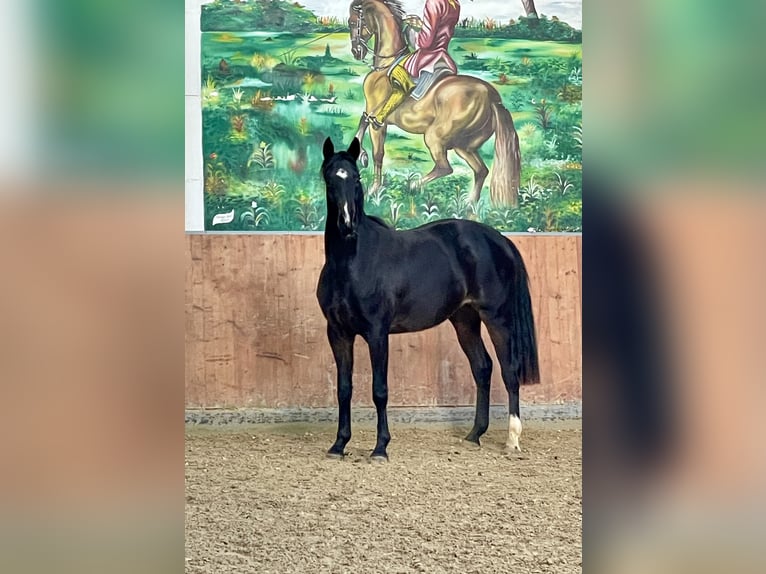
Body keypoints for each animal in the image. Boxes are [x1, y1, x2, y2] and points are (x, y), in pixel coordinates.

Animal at [317, 137, 540, 461]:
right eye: (330, 179)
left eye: (356, 178)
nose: (347, 225)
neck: (351, 262)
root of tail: (500, 240)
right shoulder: (338, 333)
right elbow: (344, 389)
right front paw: (339, 444)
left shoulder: (376, 333)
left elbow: (379, 390)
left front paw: (380, 447)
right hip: (464, 319)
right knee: (482, 367)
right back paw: (474, 435)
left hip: (497, 318)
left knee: (509, 371)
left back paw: (512, 440)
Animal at [348, 0, 522, 206]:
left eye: (352, 22)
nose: (356, 52)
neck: (385, 67)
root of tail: (492, 97)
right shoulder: (373, 112)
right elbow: (362, 122)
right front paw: (361, 156)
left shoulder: (378, 119)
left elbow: (377, 150)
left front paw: (373, 187)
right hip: (464, 145)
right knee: (481, 170)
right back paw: (469, 204)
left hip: (435, 137)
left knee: (445, 167)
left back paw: (413, 185)